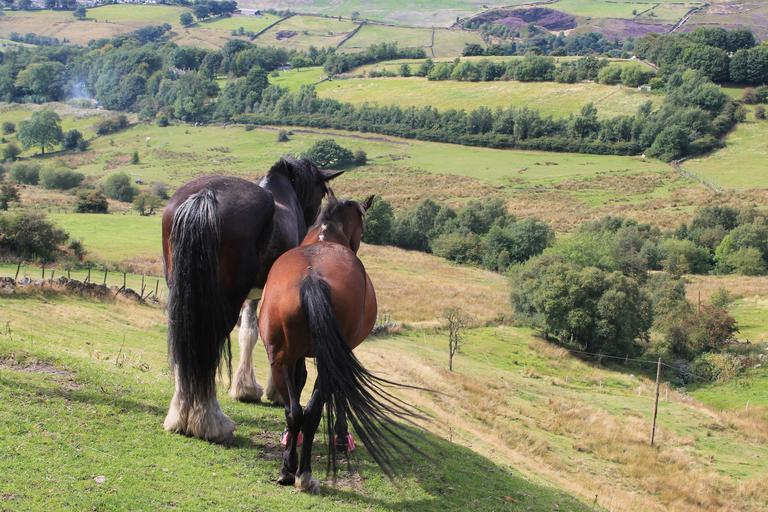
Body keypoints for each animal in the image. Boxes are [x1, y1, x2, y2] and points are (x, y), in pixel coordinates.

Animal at [162, 157, 343, 444]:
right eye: (322, 192)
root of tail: (206, 195)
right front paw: (276, 392)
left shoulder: (253, 295)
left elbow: (248, 333)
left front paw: (245, 388)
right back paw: (210, 423)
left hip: (182, 293)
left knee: (185, 343)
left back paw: (180, 417)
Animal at [258, 195, 422, 493]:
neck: (325, 237)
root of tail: (311, 277)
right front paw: (341, 435)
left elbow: (299, 386)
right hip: (327, 360)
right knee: (312, 411)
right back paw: (304, 472)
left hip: (279, 357)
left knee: (296, 412)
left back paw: (289, 469)